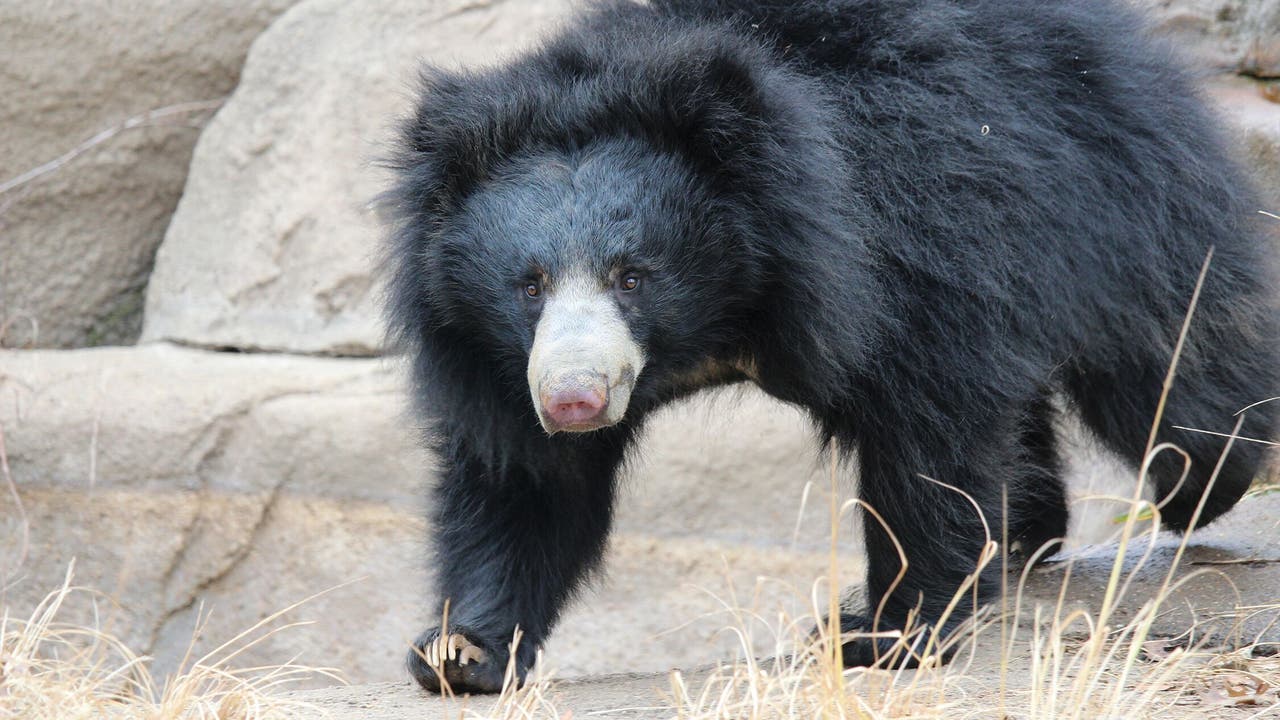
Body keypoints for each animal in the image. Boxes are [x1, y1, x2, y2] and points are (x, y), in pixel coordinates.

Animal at [381, 0, 1280, 691]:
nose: (573, 399)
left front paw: (882, 635)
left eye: (632, 276)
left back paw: (1206, 480)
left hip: (1106, 183)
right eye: (528, 285)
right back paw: (1027, 535)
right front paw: (461, 649)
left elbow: (930, 435)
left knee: (1167, 355)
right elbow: (527, 481)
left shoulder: (910, 241)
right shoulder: (487, 353)